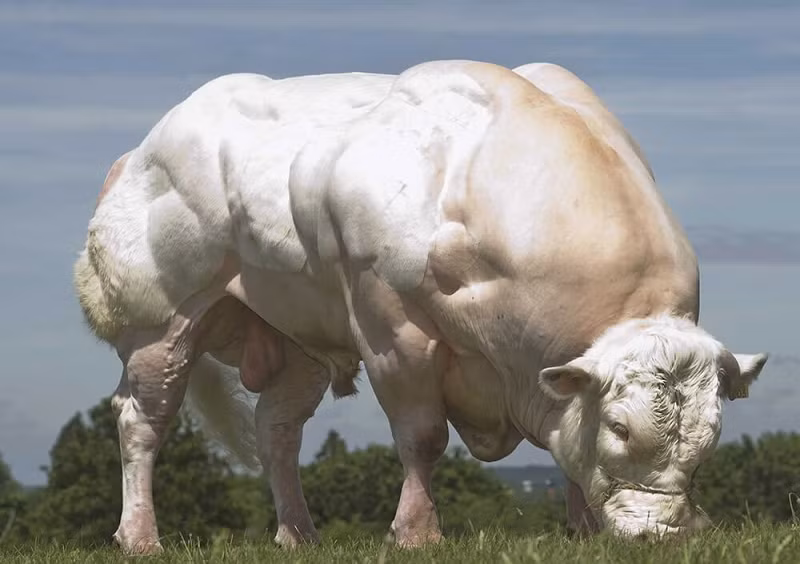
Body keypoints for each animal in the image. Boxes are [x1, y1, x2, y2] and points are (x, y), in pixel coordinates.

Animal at [73, 60, 768, 554]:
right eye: (621, 428)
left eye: (710, 438)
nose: (659, 534)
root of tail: (139, 153)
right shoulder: (391, 328)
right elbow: (423, 436)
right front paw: (417, 532)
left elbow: (569, 446)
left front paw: (584, 531)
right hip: (160, 323)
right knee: (142, 421)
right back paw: (141, 538)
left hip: (299, 341)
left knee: (277, 430)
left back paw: (299, 535)